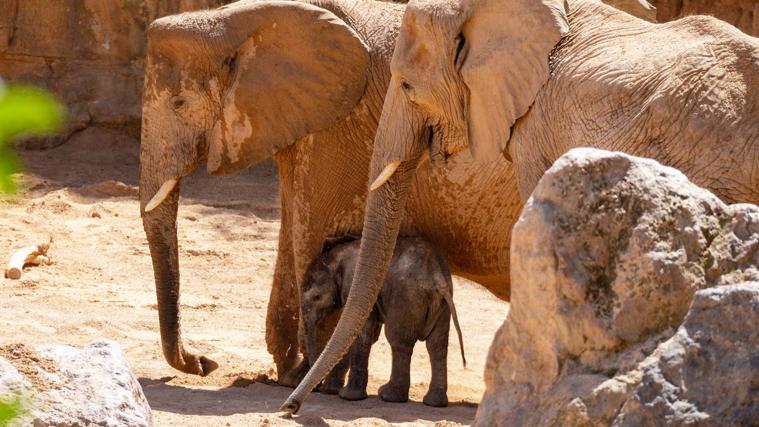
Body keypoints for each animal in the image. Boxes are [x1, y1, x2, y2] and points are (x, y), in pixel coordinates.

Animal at [138, 0, 524, 384]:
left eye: (179, 103)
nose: (203, 363)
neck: (240, 19)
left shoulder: (341, 132)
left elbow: (312, 237)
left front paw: (304, 377)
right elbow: (291, 232)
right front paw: (286, 373)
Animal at [302, 237, 466, 408]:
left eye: (316, 297)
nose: (318, 388)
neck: (336, 257)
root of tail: (437, 278)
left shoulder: (353, 284)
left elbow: (360, 332)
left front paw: (346, 396)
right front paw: (331, 390)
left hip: (406, 298)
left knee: (399, 341)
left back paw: (388, 396)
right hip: (442, 306)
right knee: (437, 345)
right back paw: (434, 402)